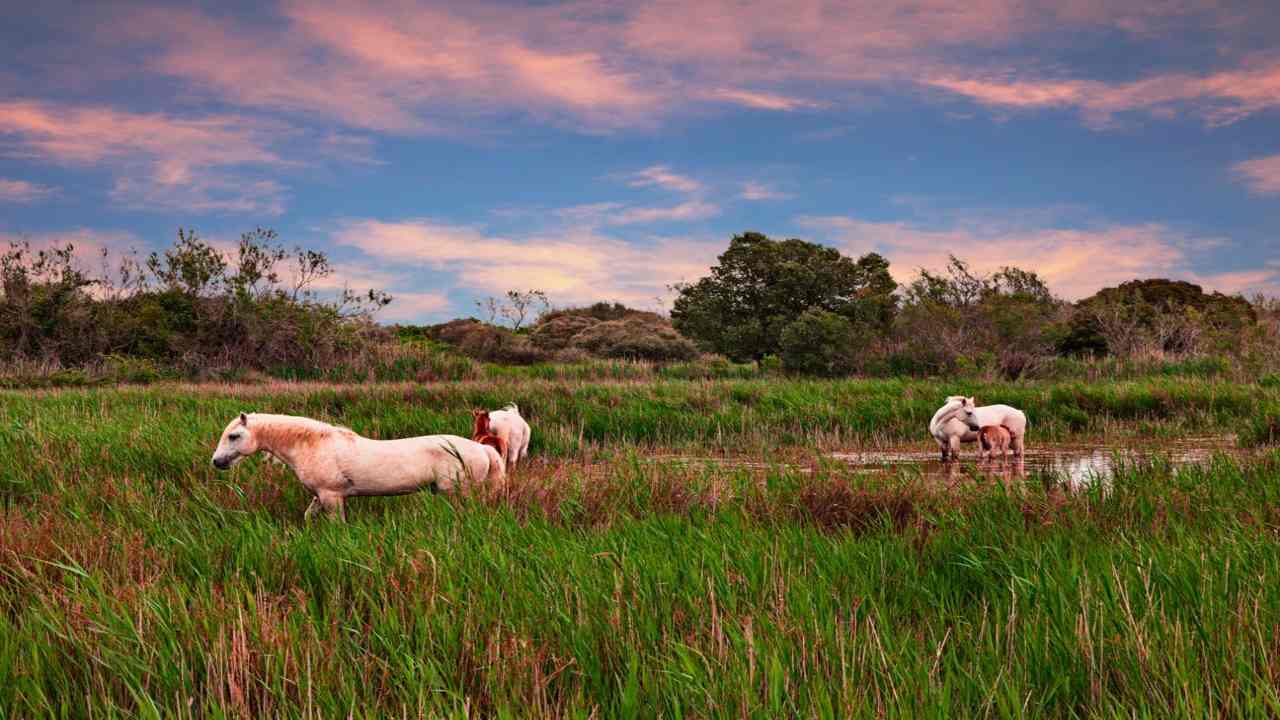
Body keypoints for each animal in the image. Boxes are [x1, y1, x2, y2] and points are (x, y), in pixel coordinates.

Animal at [211, 412, 504, 517]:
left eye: (234, 436)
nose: (217, 462)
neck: (314, 445)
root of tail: (482, 449)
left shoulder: (331, 496)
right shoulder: (320, 496)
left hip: (457, 492)